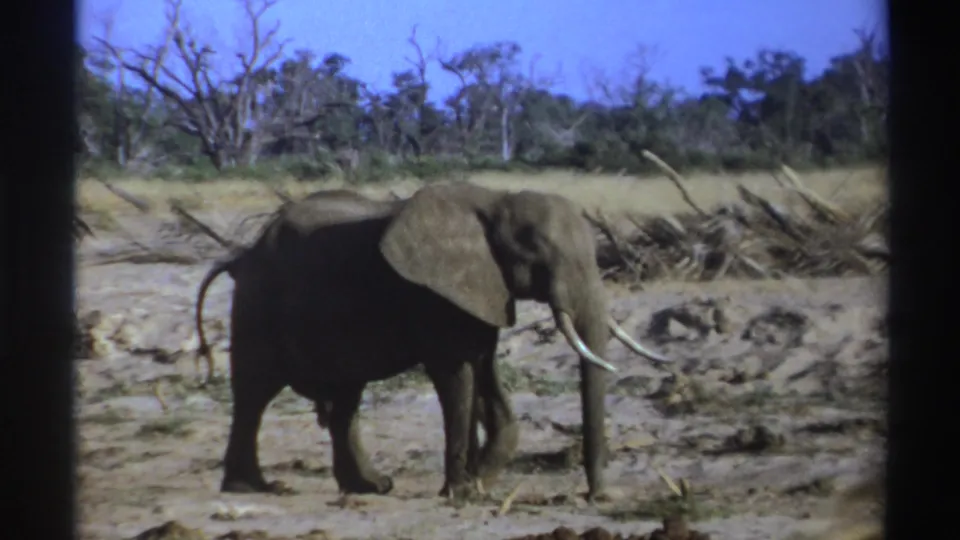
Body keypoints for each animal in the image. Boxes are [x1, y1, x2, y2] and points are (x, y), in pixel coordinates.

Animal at [193, 182, 671, 502]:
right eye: (536, 252)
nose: (595, 498)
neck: (496, 202)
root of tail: (242, 255)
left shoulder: (481, 290)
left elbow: (486, 373)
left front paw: (479, 483)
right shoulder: (434, 296)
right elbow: (456, 377)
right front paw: (461, 491)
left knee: (345, 397)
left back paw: (371, 487)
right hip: (257, 303)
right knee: (255, 392)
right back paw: (254, 487)